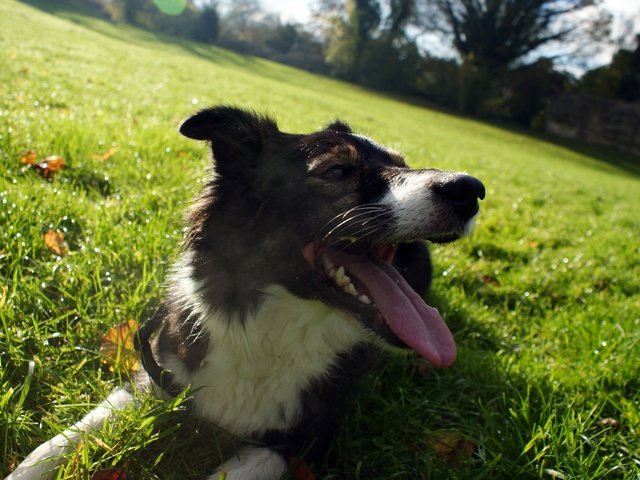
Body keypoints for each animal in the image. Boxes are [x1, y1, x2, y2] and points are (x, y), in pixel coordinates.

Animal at [6, 108, 484, 480]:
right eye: (337, 171)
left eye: (403, 163)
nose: (471, 190)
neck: (273, 324)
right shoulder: (156, 373)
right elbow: (66, 438)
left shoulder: (307, 439)